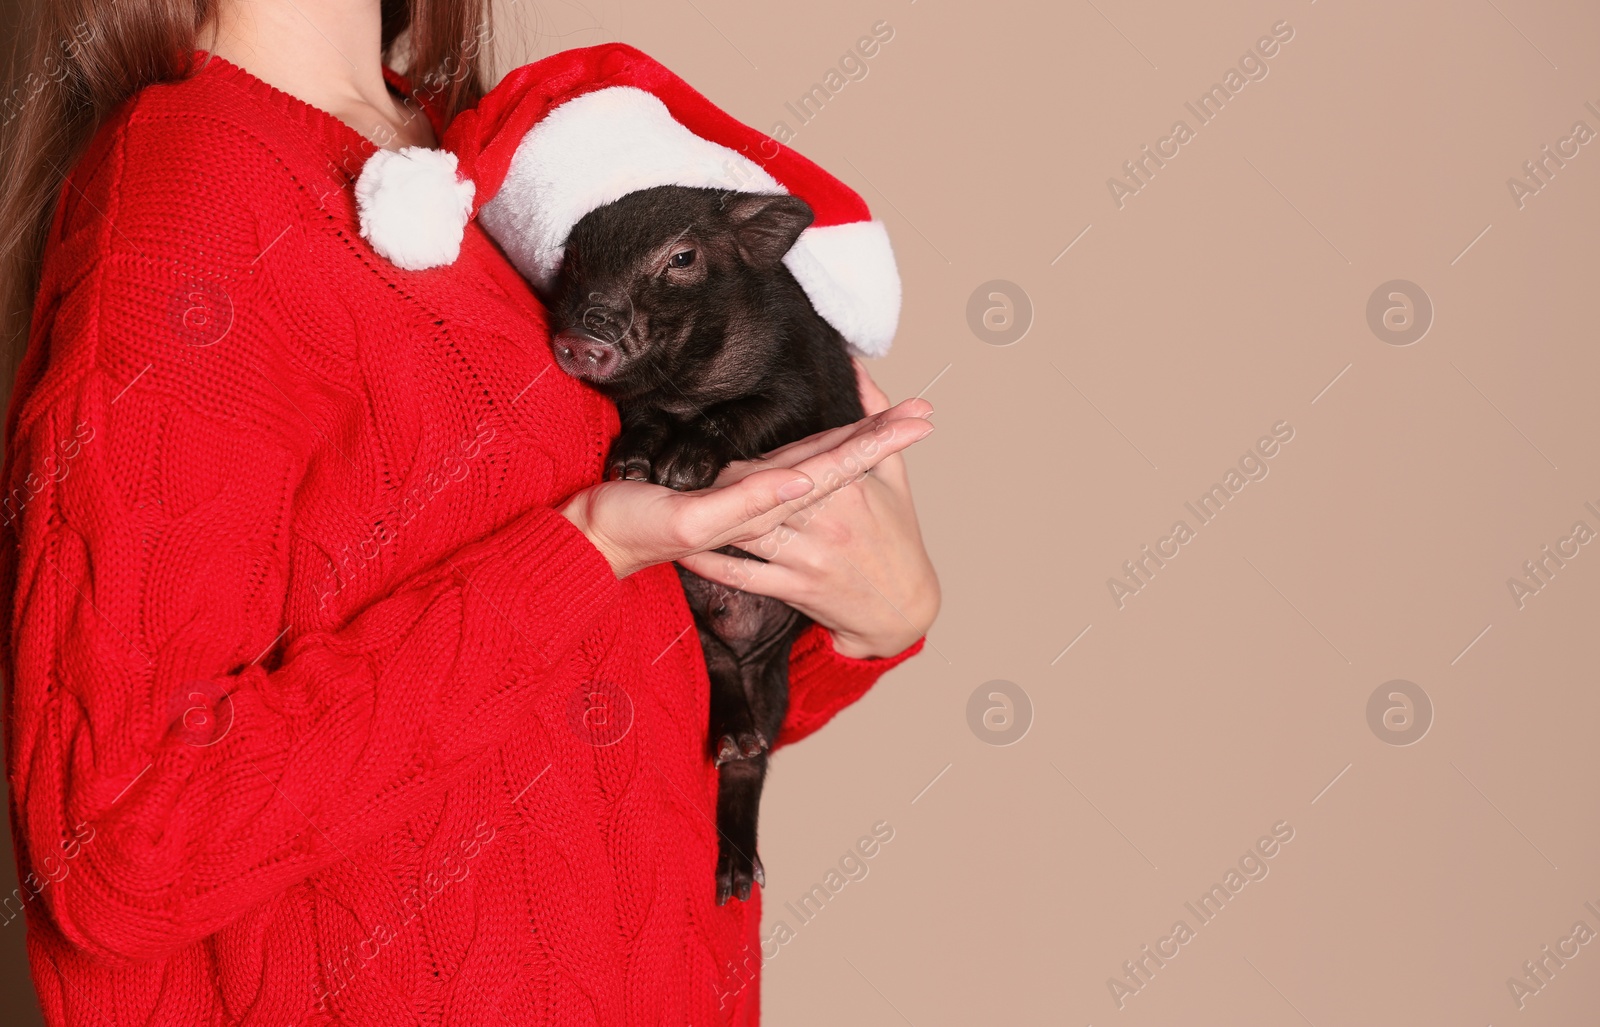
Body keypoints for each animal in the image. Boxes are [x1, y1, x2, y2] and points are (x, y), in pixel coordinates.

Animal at [544, 185, 864, 902]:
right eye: (573, 257)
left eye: (682, 258)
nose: (579, 336)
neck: (687, 387)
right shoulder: (641, 406)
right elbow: (640, 420)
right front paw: (635, 470)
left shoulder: (796, 387)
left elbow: (746, 414)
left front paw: (681, 471)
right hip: (705, 627)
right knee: (719, 672)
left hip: (775, 674)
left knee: (754, 764)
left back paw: (743, 877)